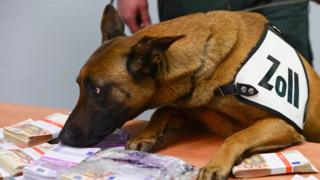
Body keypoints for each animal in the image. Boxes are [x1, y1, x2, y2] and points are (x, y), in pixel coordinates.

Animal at [58, 4, 320, 180]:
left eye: (97, 89)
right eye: (79, 85)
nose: (62, 138)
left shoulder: (281, 123)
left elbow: (238, 136)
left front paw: (217, 164)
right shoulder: (198, 114)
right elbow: (163, 109)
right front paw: (146, 135)